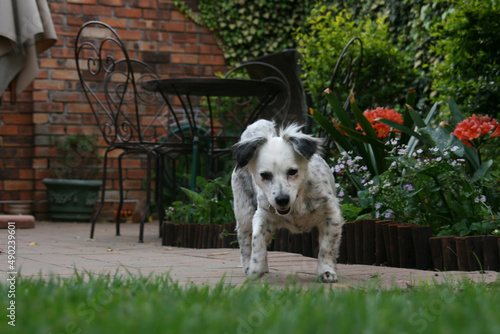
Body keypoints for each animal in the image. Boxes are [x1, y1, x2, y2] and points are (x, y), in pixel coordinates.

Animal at [231, 120, 344, 282]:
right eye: (265, 175)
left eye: (292, 172)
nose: (282, 200)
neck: (297, 200)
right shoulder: (262, 215)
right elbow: (257, 241)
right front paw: (255, 268)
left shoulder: (331, 215)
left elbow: (327, 247)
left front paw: (327, 271)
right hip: (244, 213)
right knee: (245, 241)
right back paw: (249, 266)